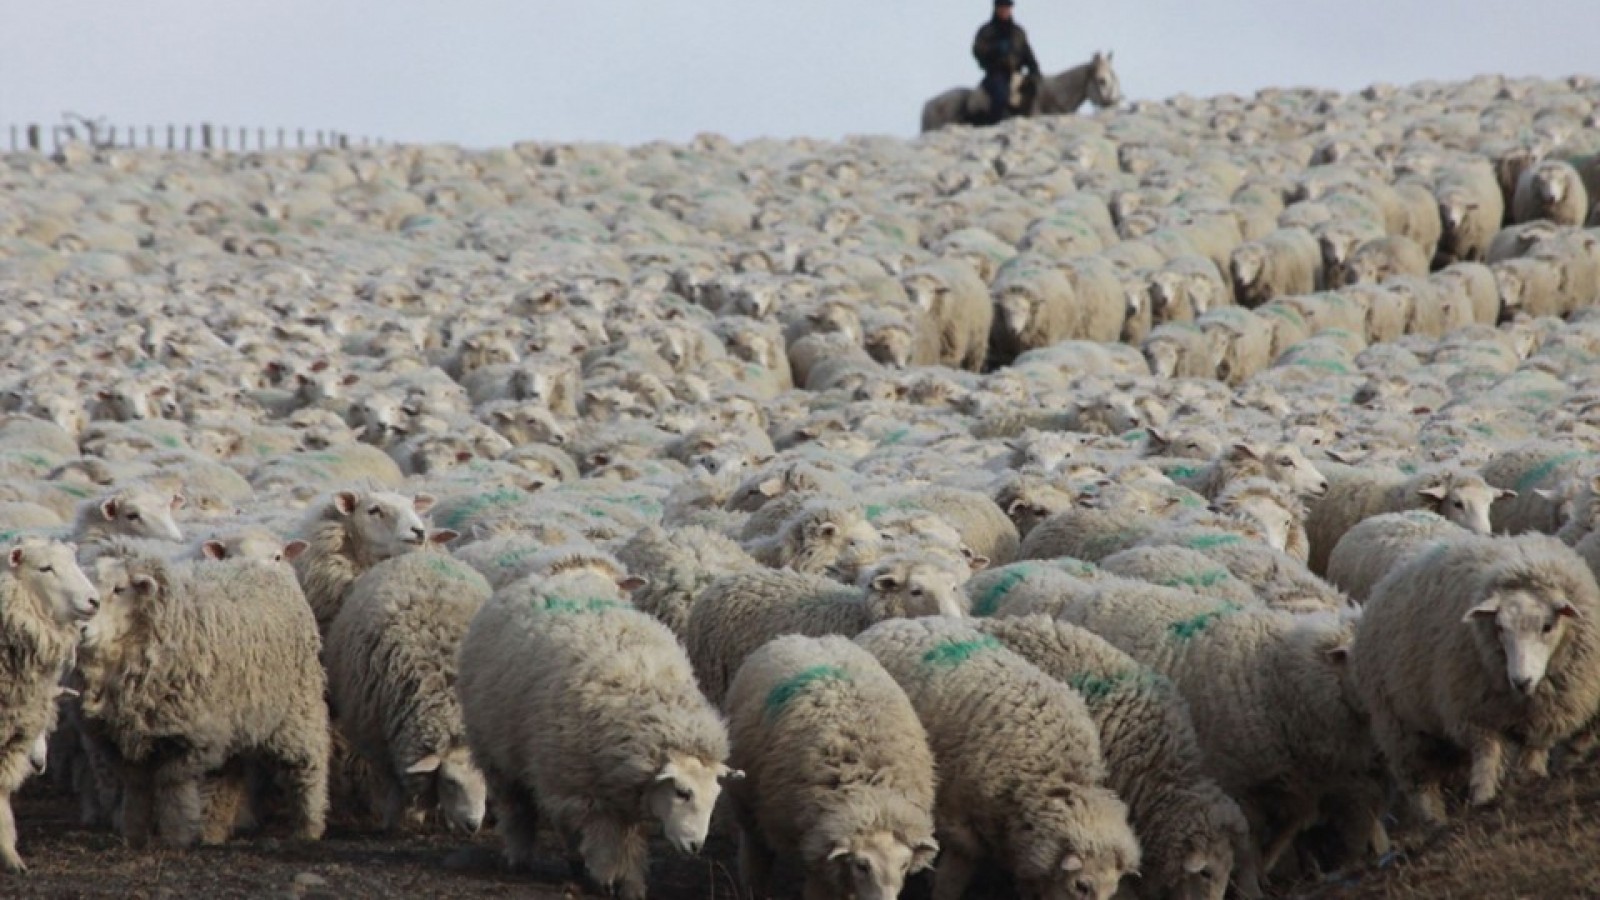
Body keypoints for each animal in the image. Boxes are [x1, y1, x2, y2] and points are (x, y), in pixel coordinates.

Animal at [77, 553, 329, 849]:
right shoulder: (117, 737)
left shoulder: (191, 737)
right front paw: (134, 835)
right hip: (235, 721)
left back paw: (308, 827)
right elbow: (137, 786)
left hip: (297, 707)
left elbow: (171, 784)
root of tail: (265, 565)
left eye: (119, 589)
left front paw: (176, 836)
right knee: (228, 775)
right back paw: (214, 833)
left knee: (308, 763)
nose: (82, 627)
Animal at [323, 550, 492, 833]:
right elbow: (395, 786)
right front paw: (395, 822)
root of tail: (422, 552)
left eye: (485, 780)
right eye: (450, 782)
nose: (473, 824)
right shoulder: (381, 741)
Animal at [456, 585, 738, 898]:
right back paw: (520, 856)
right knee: (518, 808)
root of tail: (532, 582)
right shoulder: (587, 790)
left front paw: (631, 884)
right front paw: (607, 876)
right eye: (682, 792)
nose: (695, 846)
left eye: (715, 796)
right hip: (503, 756)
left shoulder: (626, 789)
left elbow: (631, 841)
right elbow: (604, 837)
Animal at [723, 635, 939, 900]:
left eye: (904, 865)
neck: (870, 793)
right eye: (862, 866)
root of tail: (805, 637)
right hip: (745, 803)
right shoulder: (818, 856)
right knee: (756, 848)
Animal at [1354, 533, 1600, 823]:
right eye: (1499, 627)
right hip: (1398, 724)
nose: (1521, 681)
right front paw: (1484, 799)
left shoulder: (1545, 717)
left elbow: (1532, 754)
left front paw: (1531, 781)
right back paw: (1434, 820)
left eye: (1547, 626)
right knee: (1419, 779)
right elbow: (1487, 755)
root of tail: (1382, 584)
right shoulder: (1474, 712)